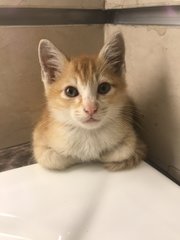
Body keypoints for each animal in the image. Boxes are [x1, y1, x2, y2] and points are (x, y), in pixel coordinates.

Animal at [32, 32, 146, 171]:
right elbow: (54, 159)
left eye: (104, 88)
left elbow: (122, 151)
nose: (91, 108)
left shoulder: (130, 136)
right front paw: (77, 157)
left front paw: (97, 156)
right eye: (70, 91)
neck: (88, 134)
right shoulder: (39, 139)